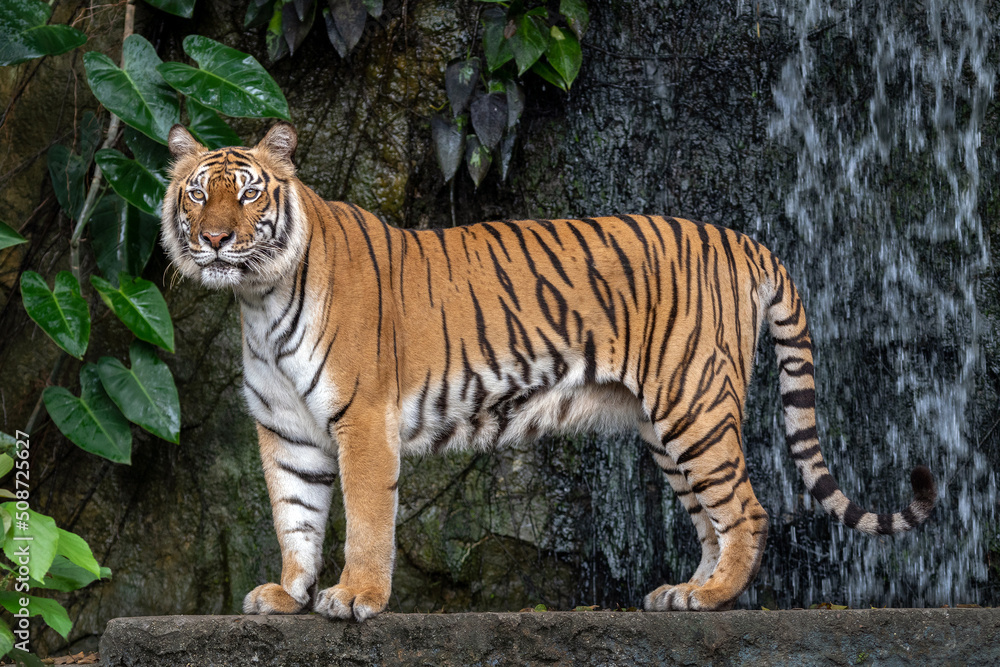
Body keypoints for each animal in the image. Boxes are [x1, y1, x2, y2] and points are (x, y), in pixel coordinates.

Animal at [160, 121, 932, 620]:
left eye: (249, 194)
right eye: (198, 194)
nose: (216, 238)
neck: (258, 298)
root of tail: (741, 238)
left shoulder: (363, 418)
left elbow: (368, 517)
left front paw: (355, 598)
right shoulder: (287, 430)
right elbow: (295, 514)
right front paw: (288, 594)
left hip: (694, 405)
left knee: (745, 508)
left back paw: (713, 598)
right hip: (667, 425)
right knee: (711, 518)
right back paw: (684, 591)